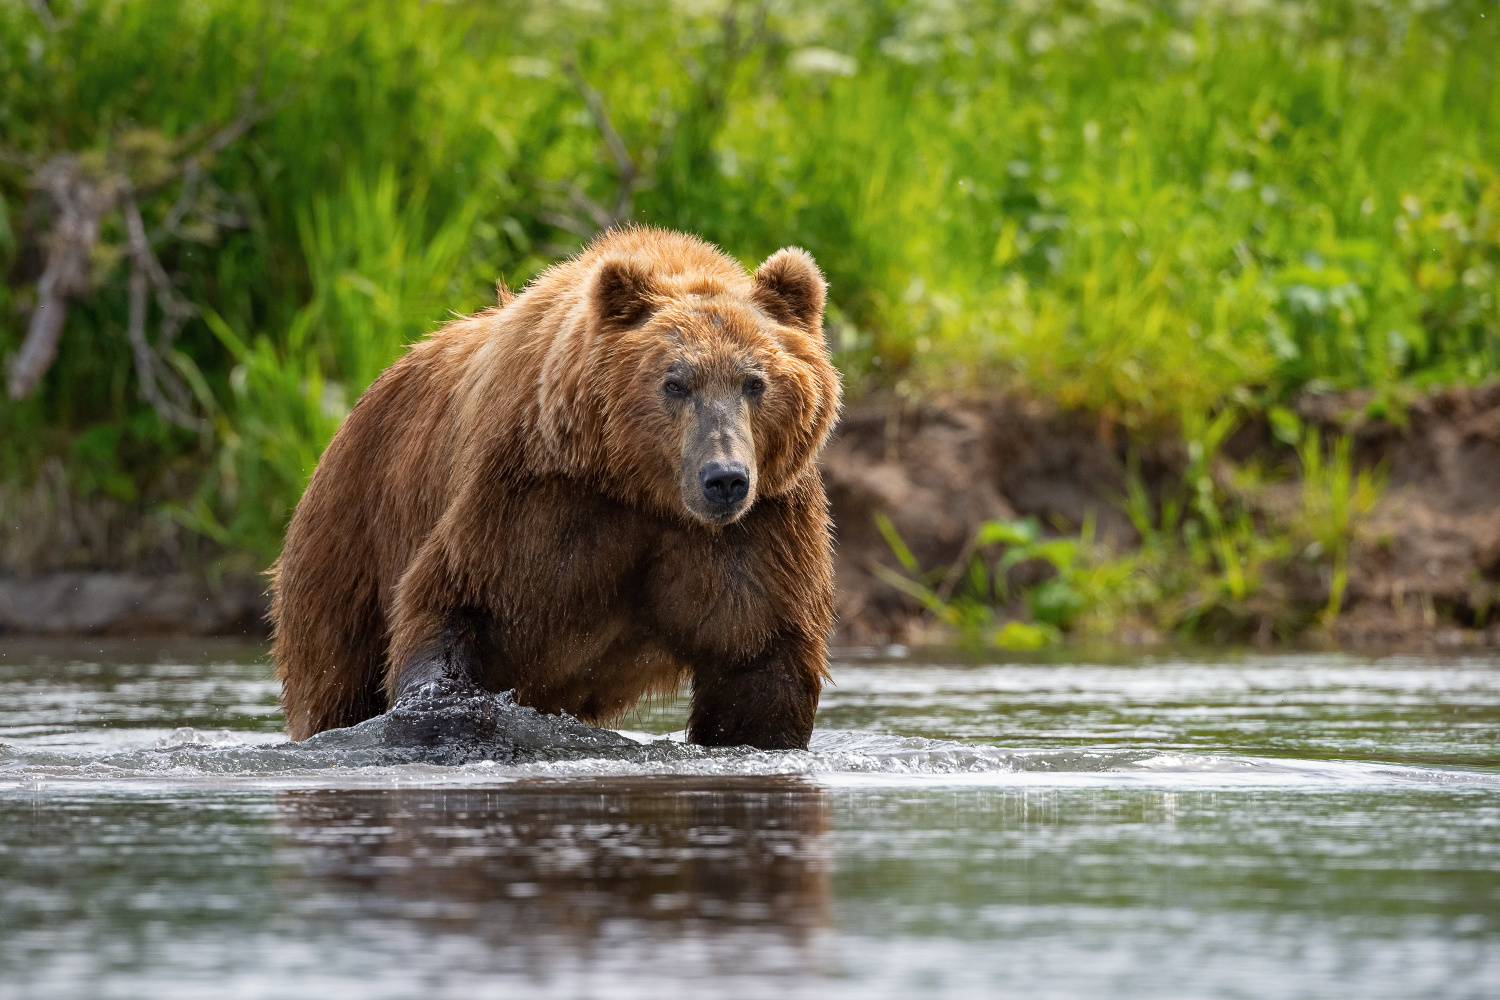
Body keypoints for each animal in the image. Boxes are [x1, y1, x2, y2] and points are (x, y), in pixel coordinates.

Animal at [271, 223, 846, 746]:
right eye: (675, 382)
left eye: (755, 381)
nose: (724, 478)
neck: (640, 488)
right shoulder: (534, 499)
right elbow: (457, 600)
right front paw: (445, 715)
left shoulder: (760, 528)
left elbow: (759, 662)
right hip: (349, 536)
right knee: (335, 671)